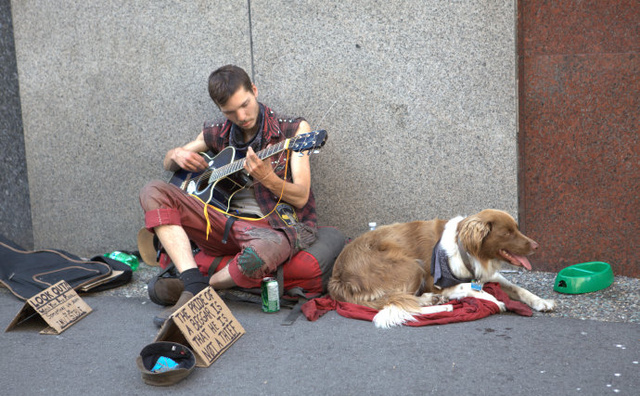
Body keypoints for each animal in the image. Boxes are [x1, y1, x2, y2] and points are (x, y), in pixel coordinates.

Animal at [330, 210, 556, 328]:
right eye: (507, 233)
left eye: (516, 228)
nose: (537, 245)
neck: (465, 250)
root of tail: (337, 278)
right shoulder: (436, 282)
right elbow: (470, 288)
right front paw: (495, 300)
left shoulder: (485, 275)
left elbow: (519, 289)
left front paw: (542, 301)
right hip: (411, 266)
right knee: (398, 303)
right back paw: (441, 305)